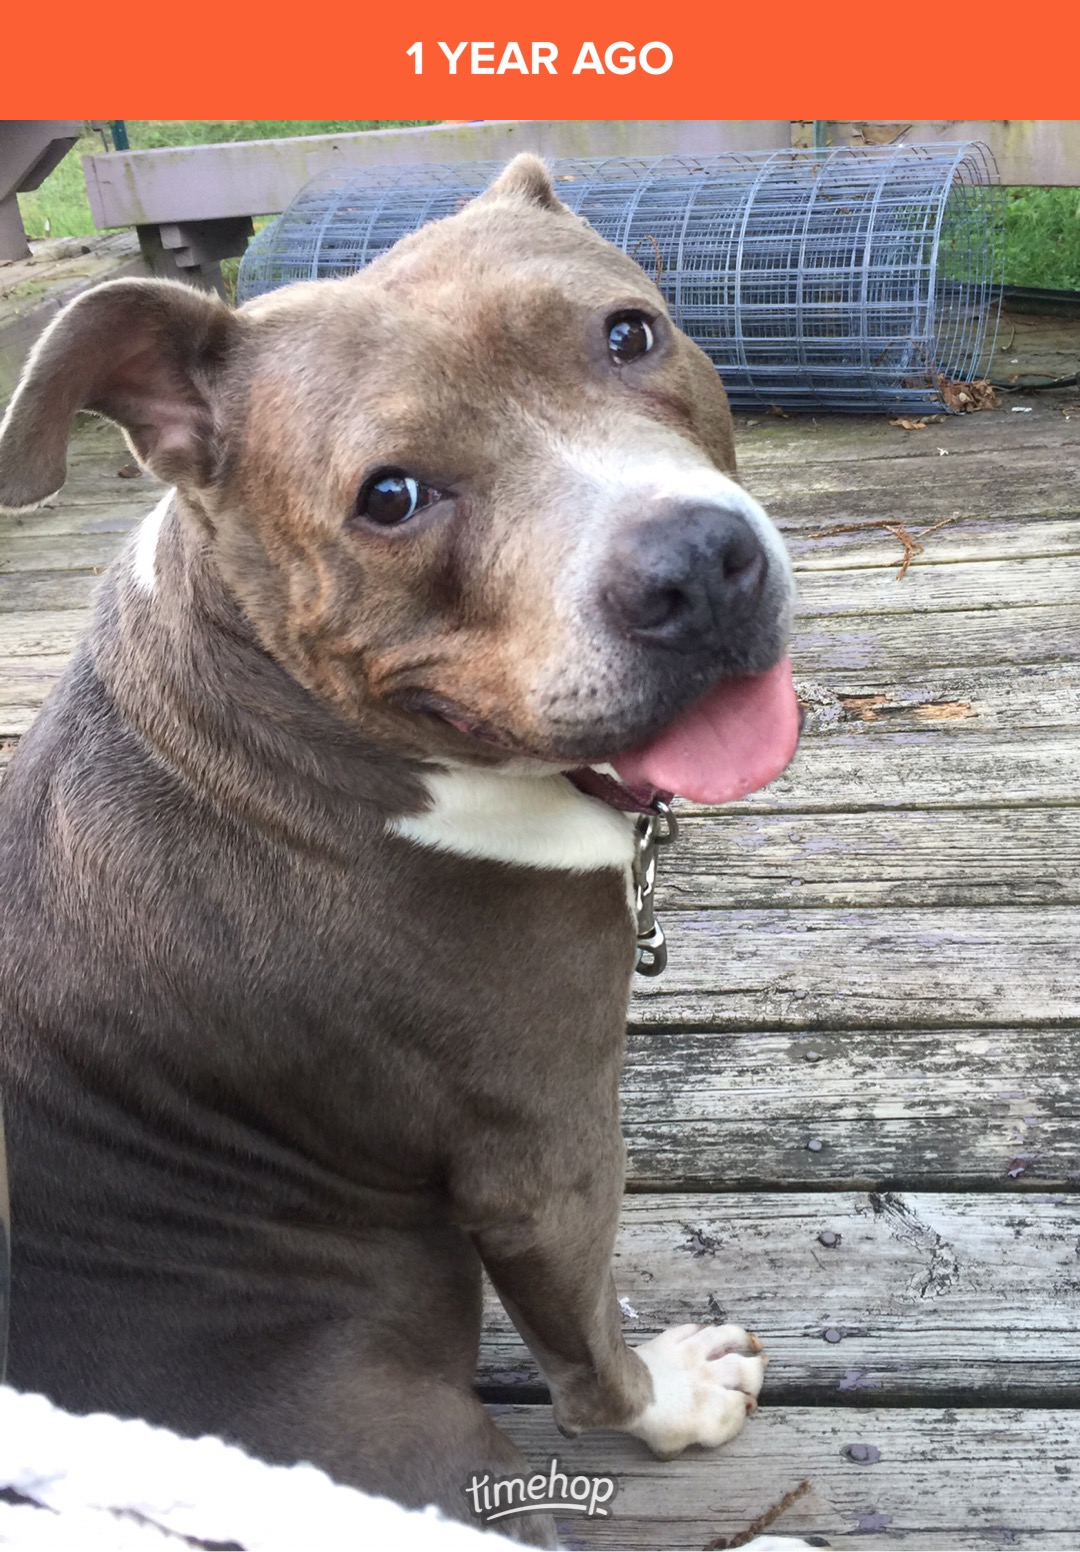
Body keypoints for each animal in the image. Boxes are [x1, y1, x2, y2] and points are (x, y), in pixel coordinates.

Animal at [0, 156, 802, 1547]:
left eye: (629, 333)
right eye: (391, 497)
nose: (699, 566)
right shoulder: (543, 1140)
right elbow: (588, 1356)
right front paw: (676, 1399)